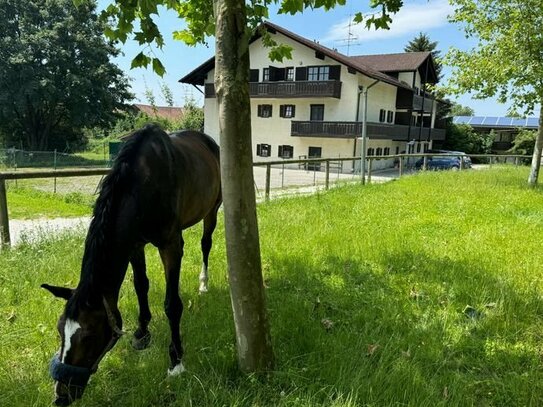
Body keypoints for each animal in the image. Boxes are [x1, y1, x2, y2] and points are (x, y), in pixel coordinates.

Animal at [39, 126, 223, 406]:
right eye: (61, 330)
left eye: (90, 335)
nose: (61, 395)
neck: (143, 183)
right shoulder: (135, 244)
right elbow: (140, 286)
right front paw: (142, 333)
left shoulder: (170, 245)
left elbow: (172, 304)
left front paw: (176, 362)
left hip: (212, 211)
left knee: (205, 244)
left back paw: (204, 283)